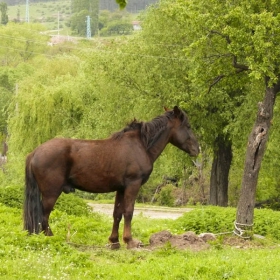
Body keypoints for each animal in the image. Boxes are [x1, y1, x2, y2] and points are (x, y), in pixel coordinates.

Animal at [24, 106, 199, 248]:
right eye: (188, 126)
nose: (197, 149)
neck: (141, 145)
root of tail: (35, 152)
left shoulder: (120, 189)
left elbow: (117, 214)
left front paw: (114, 241)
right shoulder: (132, 185)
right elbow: (128, 211)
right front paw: (129, 241)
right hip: (51, 193)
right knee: (43, 216)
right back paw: (51, 238)